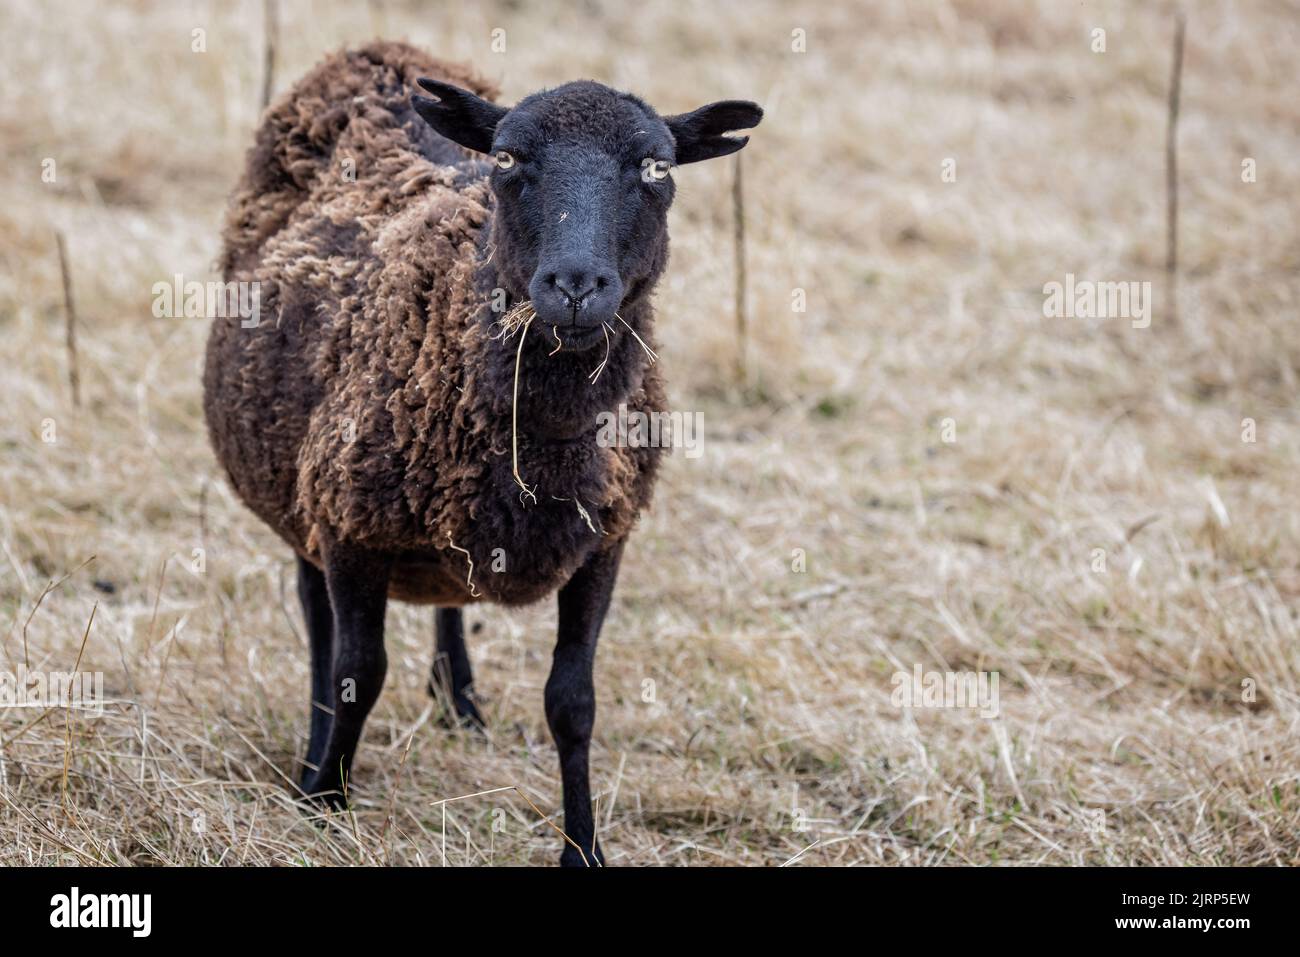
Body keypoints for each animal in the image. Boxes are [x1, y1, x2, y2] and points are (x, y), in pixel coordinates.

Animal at [203, 41, 761, 866]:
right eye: (506, 158)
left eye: (656, 168)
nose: (574, 285)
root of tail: (382, 50)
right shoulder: (350, 525)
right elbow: (357, 670)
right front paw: (325, 802)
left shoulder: (606, 540)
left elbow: (572, 701)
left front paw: (583, 847)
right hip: (301, 489)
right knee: (316, 620)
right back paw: (313, 753)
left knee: (446, 600)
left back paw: (459, 698)